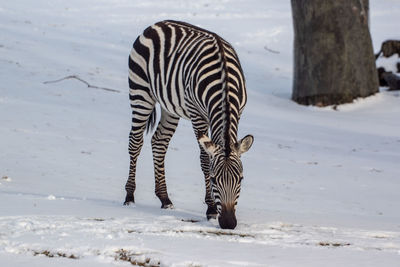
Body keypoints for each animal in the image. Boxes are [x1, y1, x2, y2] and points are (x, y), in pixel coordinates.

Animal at [125, 21, 253, 230]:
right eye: (213, 179)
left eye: (241, 179)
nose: (228, 223)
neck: (224, 83)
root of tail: (155, 24)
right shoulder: (197, 114)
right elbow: (204, 160)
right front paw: (210, 208)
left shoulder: (239, 112)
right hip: (140, 92)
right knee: (135, 142)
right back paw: (129, 196)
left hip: (170, 107)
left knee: (159, 142)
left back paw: (165, 199)